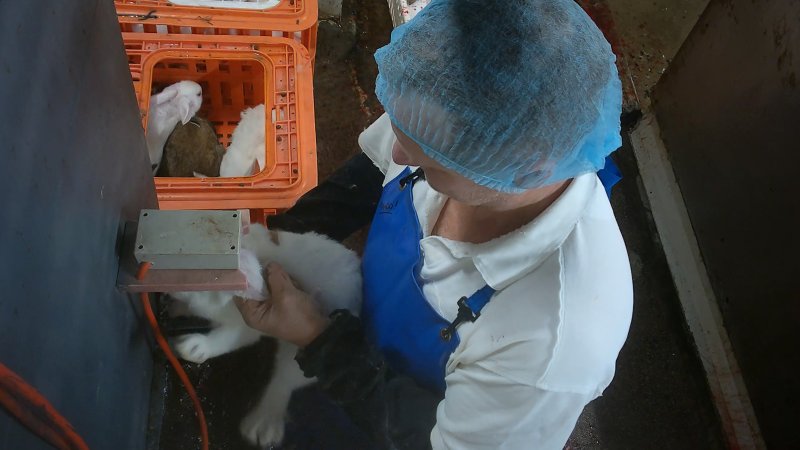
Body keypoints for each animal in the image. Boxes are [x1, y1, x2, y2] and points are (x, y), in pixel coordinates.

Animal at [169, 224, 362, 446]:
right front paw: (176, 310)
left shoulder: (247, 325)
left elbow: (225, 339)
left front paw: (192, 347)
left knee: (284, 381)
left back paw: (262, 425)